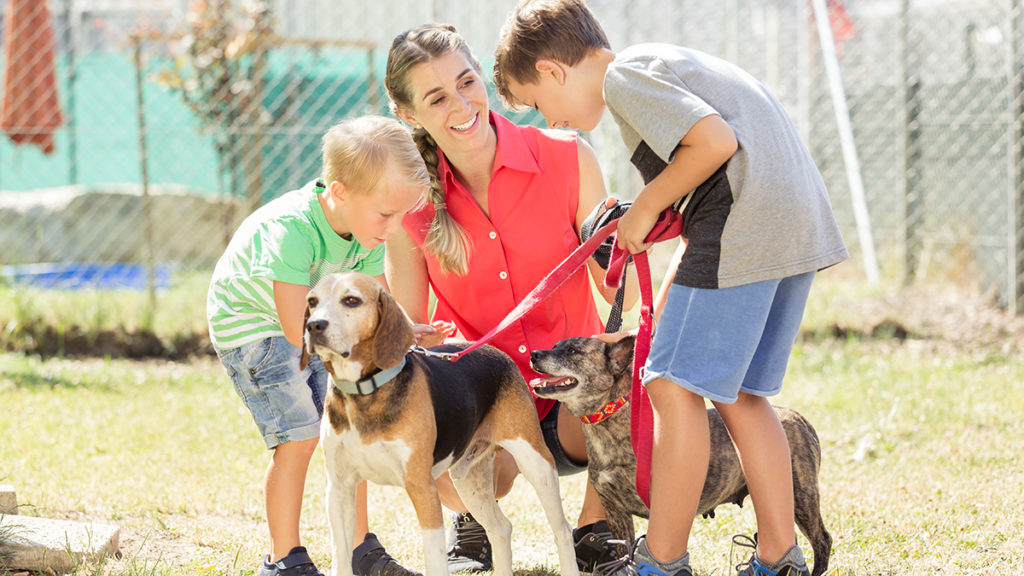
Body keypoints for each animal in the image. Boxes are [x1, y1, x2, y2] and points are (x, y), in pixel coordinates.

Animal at [528, 334, 831, 573]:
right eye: (554, 345)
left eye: (572, 351)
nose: (534, 354)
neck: (609, 425)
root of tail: (798, 417)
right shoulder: (616, 512)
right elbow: (624, 551)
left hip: (802, 496)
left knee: (822, 540)